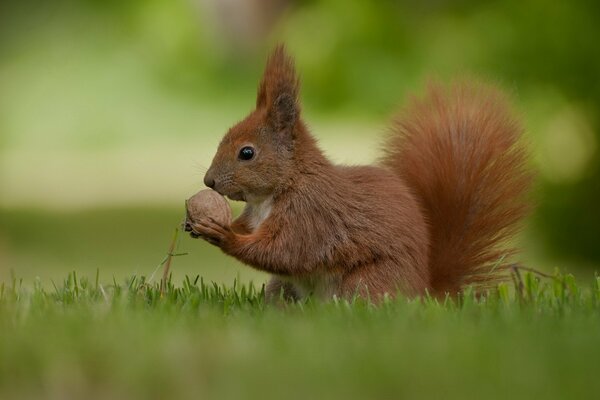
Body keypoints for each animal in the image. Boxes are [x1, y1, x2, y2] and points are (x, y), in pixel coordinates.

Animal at [185, 45, 532, 300]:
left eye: (247, 153)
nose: (208, 181)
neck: (272, 194)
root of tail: (425, 293)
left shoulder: (311, 216)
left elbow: (283, 252)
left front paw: (225, 235)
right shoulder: (257, 216)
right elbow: (253, 233)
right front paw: (199, 223)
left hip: (366, 282)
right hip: (282, 288)